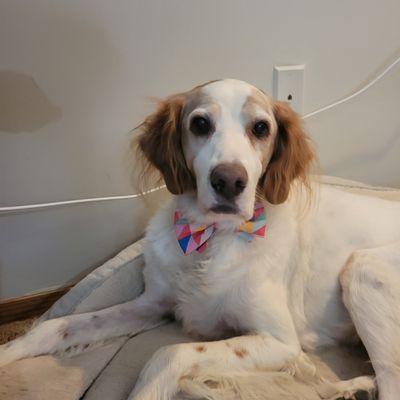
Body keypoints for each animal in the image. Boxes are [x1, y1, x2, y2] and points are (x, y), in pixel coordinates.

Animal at [0, 79, 400, 400]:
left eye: (261, 128)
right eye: (200, 124)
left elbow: (169, 353)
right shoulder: (153, 303)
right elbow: (56, 326)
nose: (229, 181)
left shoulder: (280, 341)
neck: (208, 239)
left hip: (363, 271)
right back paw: (351, 387)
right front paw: (7, 354)